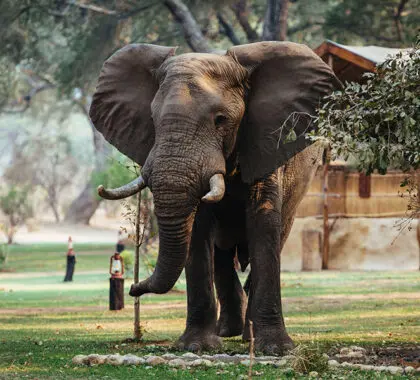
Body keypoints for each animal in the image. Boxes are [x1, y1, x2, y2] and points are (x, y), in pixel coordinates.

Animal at [90, 41, 340, 354]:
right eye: (153, 120)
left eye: (221, 120)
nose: (133, 287)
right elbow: (198, 229)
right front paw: (196, 346)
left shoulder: (265, 141)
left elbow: (263, 223)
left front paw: (276, 349)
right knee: (221, 253)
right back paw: (227, 331)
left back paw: (246, 335)